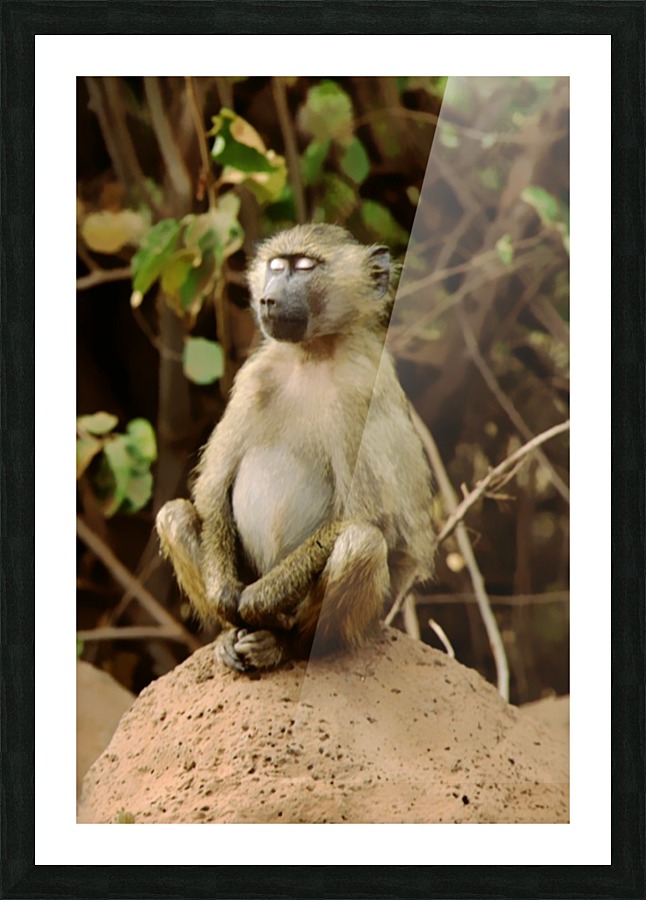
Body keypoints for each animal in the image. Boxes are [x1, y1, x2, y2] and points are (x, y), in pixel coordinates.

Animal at [156, 223, 436, 673]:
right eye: (276, 266)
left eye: (304, 267)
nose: (268, 298)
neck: (311, 356)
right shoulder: (254, 378)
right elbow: (212, 489)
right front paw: (224, 595)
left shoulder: (359, 392)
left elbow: (373, 517)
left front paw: (258, 599)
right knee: (174, 515)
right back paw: (230, 634)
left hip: (368, 616)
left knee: (361, 543)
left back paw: (285, 644)